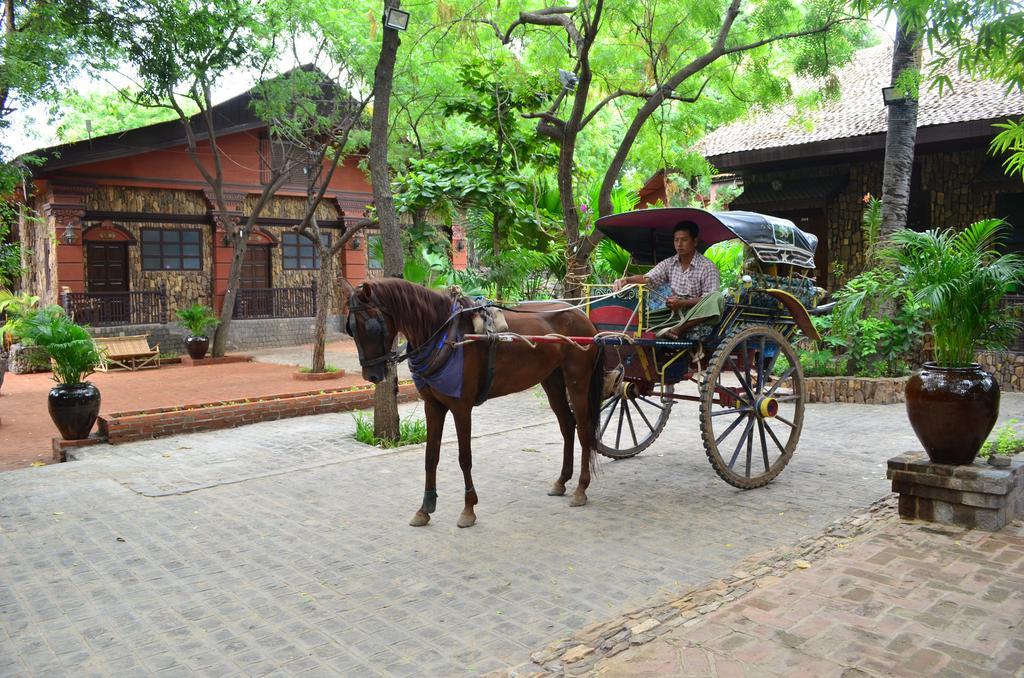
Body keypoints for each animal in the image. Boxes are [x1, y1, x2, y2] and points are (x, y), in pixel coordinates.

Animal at [346, 278, 598, 528]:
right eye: (351, 329)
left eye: (372, 326)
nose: (372, 375)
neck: (446, 336)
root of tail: (580, 314)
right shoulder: (432, 406)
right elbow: (431, 457)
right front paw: (425, 508)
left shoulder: (461, 407)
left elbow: (464, 458)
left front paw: (468, 508)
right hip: (552, 379)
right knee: (567, 425)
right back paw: (562, 481)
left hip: (577, 380)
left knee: (584, 430)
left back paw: (581, 488)